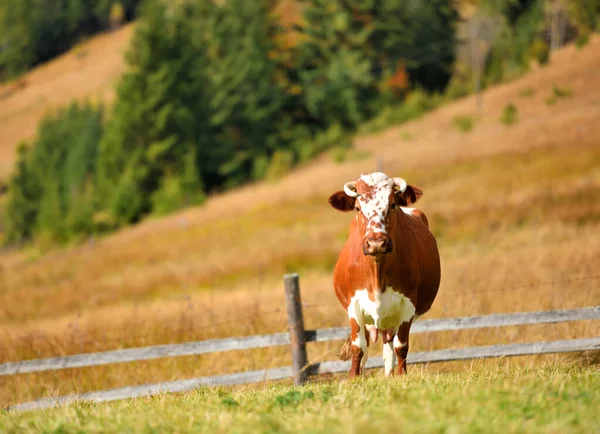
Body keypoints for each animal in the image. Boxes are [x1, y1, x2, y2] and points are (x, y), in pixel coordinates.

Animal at [328, 171, 440, 378]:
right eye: (357, 208)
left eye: (393, 204)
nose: (376, 242)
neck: (377, 272)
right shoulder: (353, 305)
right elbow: (358, 347)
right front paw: (352, 378)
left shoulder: (408, 305)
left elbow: (401, 346)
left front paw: (402, 375)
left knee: (389, 348)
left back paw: (389, 375)